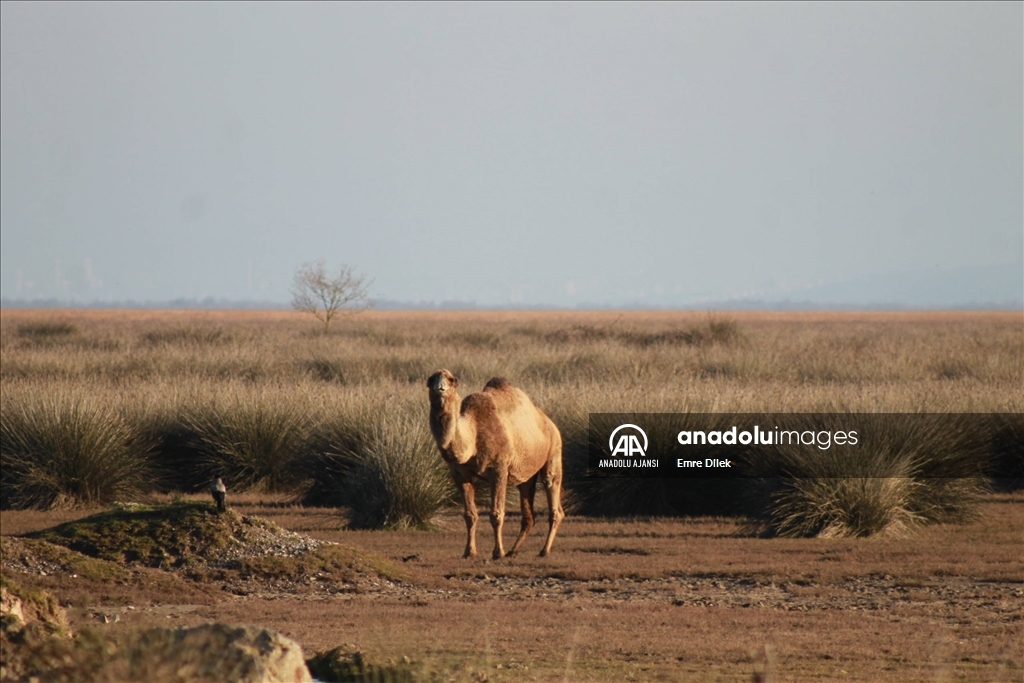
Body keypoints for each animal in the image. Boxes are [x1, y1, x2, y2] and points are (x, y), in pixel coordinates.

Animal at [428, 370, 565, 557]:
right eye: (431, 381)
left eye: (451, 381)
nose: (440, 388)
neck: (473, 435)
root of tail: (550, 423)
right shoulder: (459, 472)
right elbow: (470, 515)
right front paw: (469, 552)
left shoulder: (498, 469)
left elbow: (496, 514)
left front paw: (498, 552)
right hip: (526, 473)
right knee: (528, 513)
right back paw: (513, 551)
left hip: (554, 452)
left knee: (553, 496)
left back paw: (544, 550)